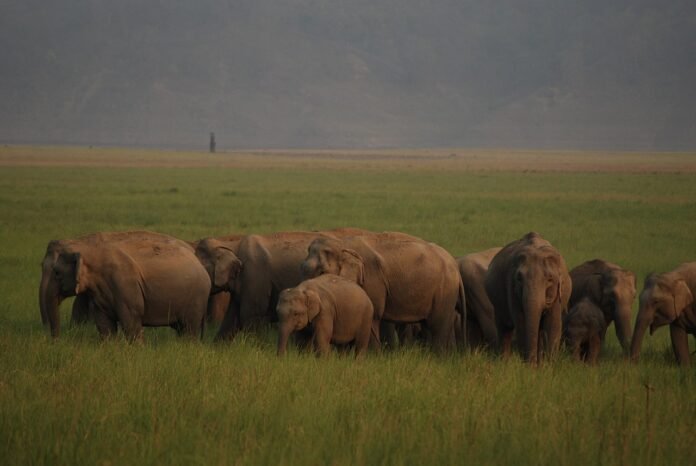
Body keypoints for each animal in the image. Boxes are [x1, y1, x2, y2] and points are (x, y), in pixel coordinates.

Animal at [39, 231, 211, 340]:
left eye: (56, 273)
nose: (55, 340)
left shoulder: (125, 284)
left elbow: (131, 321)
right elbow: (104, 324)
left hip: (196, 297)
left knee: (189, 329)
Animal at [300, 232, 466, 353]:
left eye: (322, 272)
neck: (342, 244)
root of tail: (455, 266)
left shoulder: (373, 279)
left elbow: (374, 314)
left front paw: (373, 357)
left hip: (445, 290)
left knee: (438, 325)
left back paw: (438, 357)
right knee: (429, 325)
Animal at [484, 232, 571, 365]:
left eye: (550, 279)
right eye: (519, 278)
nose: (532, 363)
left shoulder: (558, 293)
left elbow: (553, 324)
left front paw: (548, 366)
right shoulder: (512, 287)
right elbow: (521, 322)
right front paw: (529, 366)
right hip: (497, 304)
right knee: (504, 328)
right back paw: (503, 363)